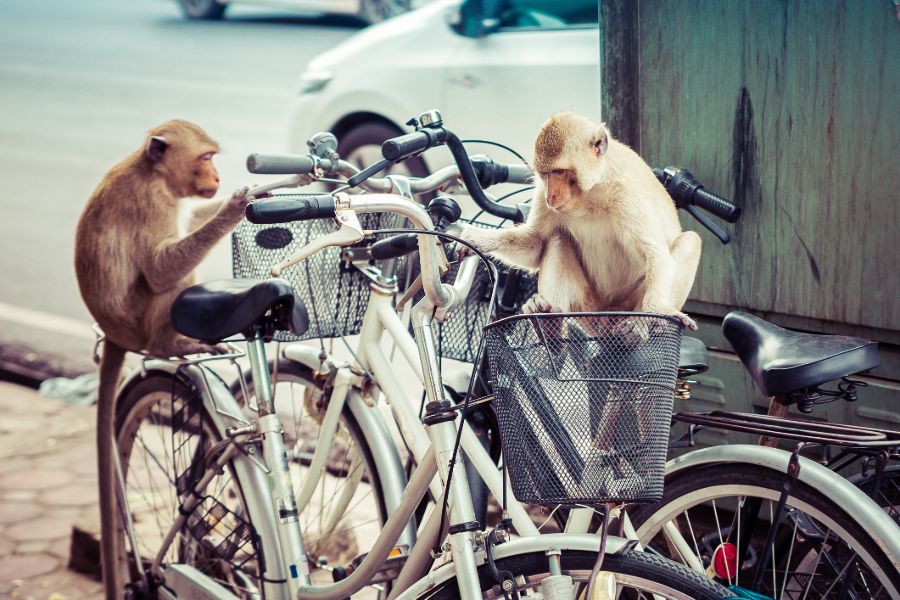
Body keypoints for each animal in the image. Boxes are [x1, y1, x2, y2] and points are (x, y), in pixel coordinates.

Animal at [71, 119, 250, 596]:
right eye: (206, 157)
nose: (217, 178)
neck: (154, 174)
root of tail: (115, 335)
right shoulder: (151, 204)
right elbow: (160, 269)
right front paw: (235, 210)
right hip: (142, 323)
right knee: (168, 284)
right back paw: (175, 345)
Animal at [464, 111, 704, 328]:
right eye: (545, 174)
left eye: (559, 171)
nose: (550, 196)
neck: (590, 192)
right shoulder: (543, 192)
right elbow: (537, 243)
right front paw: (479, 239)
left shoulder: (626, 193)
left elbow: (655, 253)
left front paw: (658, 309)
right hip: (585, 305)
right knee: (557, 239)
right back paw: (549, 324)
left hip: (625, 305)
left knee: (691, 241)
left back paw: (637, 328)